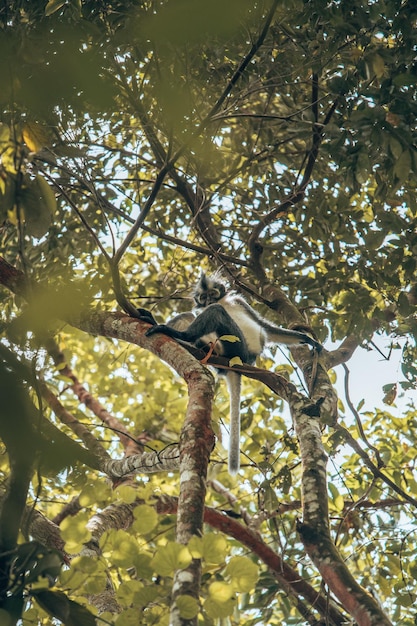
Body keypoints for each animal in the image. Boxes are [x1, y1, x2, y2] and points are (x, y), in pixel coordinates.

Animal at [146, 272, 322, 472]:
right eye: (203, 297)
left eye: (212, 293)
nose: (209, 300)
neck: (223, 301)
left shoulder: (240, 302)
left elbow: (266, 328)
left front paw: (308, 340)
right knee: (194, 315)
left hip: (236, 347)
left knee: (215, 311)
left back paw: (181, 335)